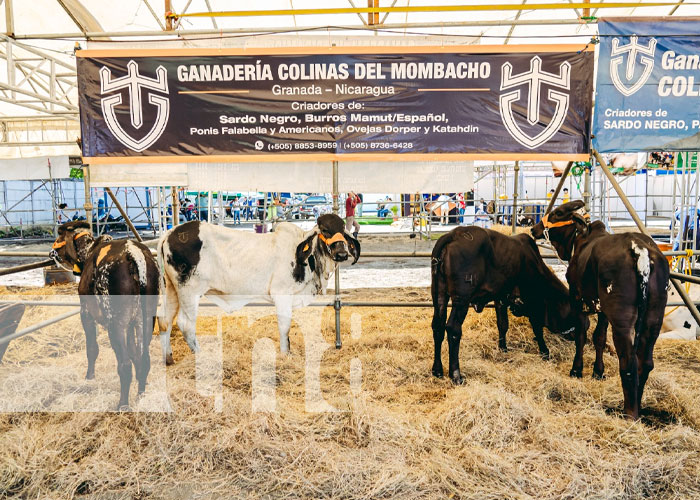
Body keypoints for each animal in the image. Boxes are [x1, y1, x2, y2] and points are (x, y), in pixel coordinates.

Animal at [49, 223, 159, 410]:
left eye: (59, 237)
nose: (51, 253)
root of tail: (133, 253)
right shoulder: (130, 324)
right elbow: (134, 352)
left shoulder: (86, 313)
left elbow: (92, 349)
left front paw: (89, 377)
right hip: (146, 318)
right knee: (144, 358)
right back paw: (141, 394)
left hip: (115, 322)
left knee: (124, 364)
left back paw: (122, 404)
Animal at [155, 212, 358, 364]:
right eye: (325, 230)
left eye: (342, 230)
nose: (342, 253)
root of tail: (170, 233)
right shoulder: (282, 294)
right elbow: (285, 326)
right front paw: (285, 354)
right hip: (189, 291)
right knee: (185, 324)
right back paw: (201, 355)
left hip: (172, 289)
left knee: (165, 320)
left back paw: (168, 358)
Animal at [432, 227, 576, 382]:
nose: (574, 335)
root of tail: (453, 235)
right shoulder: (531, 300)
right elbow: (537, 327)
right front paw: (545, 352)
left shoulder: (500, 298)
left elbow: (502, 324)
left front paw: (503, 349)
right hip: (461, 299)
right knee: (453, 329)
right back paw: (456, 375)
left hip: (439, 294)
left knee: (437, 326)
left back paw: (437, 370)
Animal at [532, 201, 672, 420]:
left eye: (558, 213)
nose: (534, 229)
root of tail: (638, 248)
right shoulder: (603, 310)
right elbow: (599, 337)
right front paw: (598, 372)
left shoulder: (577, 298)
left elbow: (582, 334)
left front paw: (577, 370)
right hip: (654, 317)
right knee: (645, 361)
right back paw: (638, 405)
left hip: (621, 319)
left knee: (628, 362)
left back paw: (629, 413)